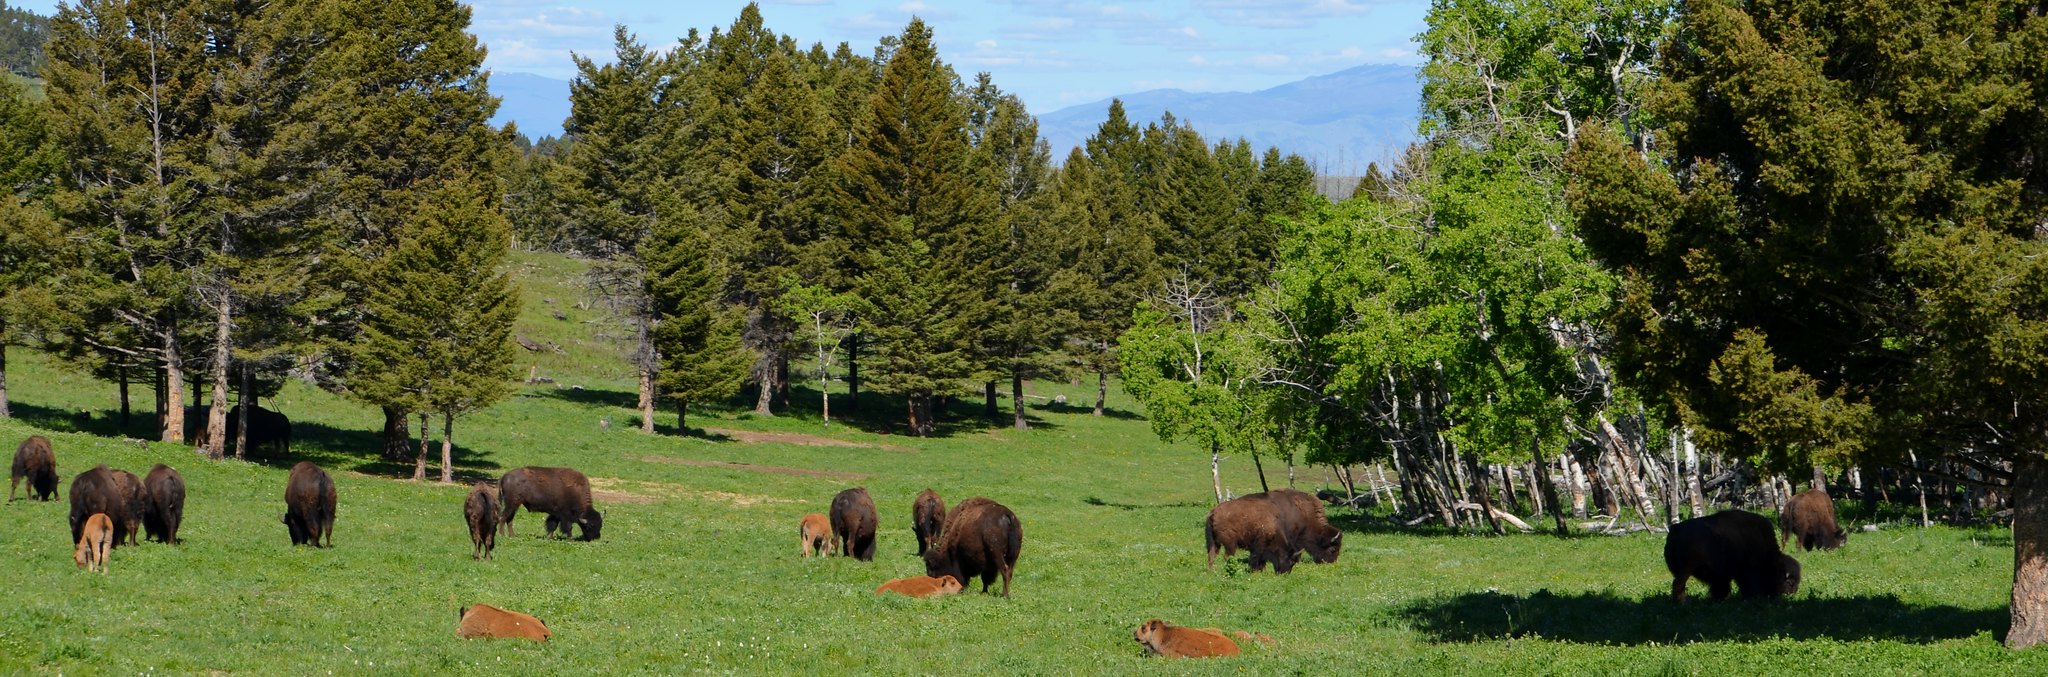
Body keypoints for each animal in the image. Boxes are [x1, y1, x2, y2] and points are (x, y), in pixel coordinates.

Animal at [1665, 509, 1801, 602]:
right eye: (1790, 582)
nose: (1790, 595)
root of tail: (1676, 528)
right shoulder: (1745, 572)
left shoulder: (1722, 576)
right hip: (1686, 569)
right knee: (1678, 585)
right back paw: (1682, 603)